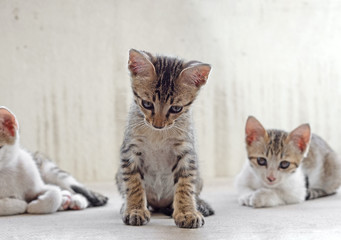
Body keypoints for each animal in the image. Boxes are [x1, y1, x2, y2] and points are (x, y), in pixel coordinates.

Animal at [115, 49, 214, 229]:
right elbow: (133, 183)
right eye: (147, 104)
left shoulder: (187, 152)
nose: (158, 125)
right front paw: (135, 210)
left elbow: (185, 185)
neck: (158, 136)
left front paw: (187, 212)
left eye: (176, 108)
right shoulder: (130, 150)